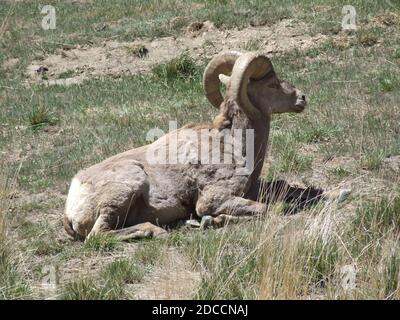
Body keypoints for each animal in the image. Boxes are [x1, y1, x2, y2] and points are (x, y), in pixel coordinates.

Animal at [63, 50, 306, 240]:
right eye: (272, 84)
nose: (302, 98)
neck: (232, 143)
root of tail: (71, 204)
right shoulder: (213, 199)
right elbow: (265, 208)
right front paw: (209, 221)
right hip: (125, 188)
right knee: (98, 235)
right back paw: (154, 231)